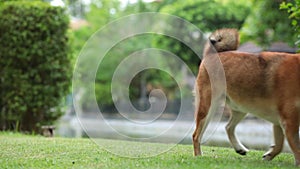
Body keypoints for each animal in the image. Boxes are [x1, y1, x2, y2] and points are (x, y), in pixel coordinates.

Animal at [192, 28, 300, 166]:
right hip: (208, 107)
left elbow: (280, 145)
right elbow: (296, 148)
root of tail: (213, 55)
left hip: (241, 109)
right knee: (196, 135)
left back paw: (239, 148)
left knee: (228, 127)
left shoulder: (280, 122)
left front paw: (269, 155)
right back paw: (198, 156)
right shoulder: (290, 122)